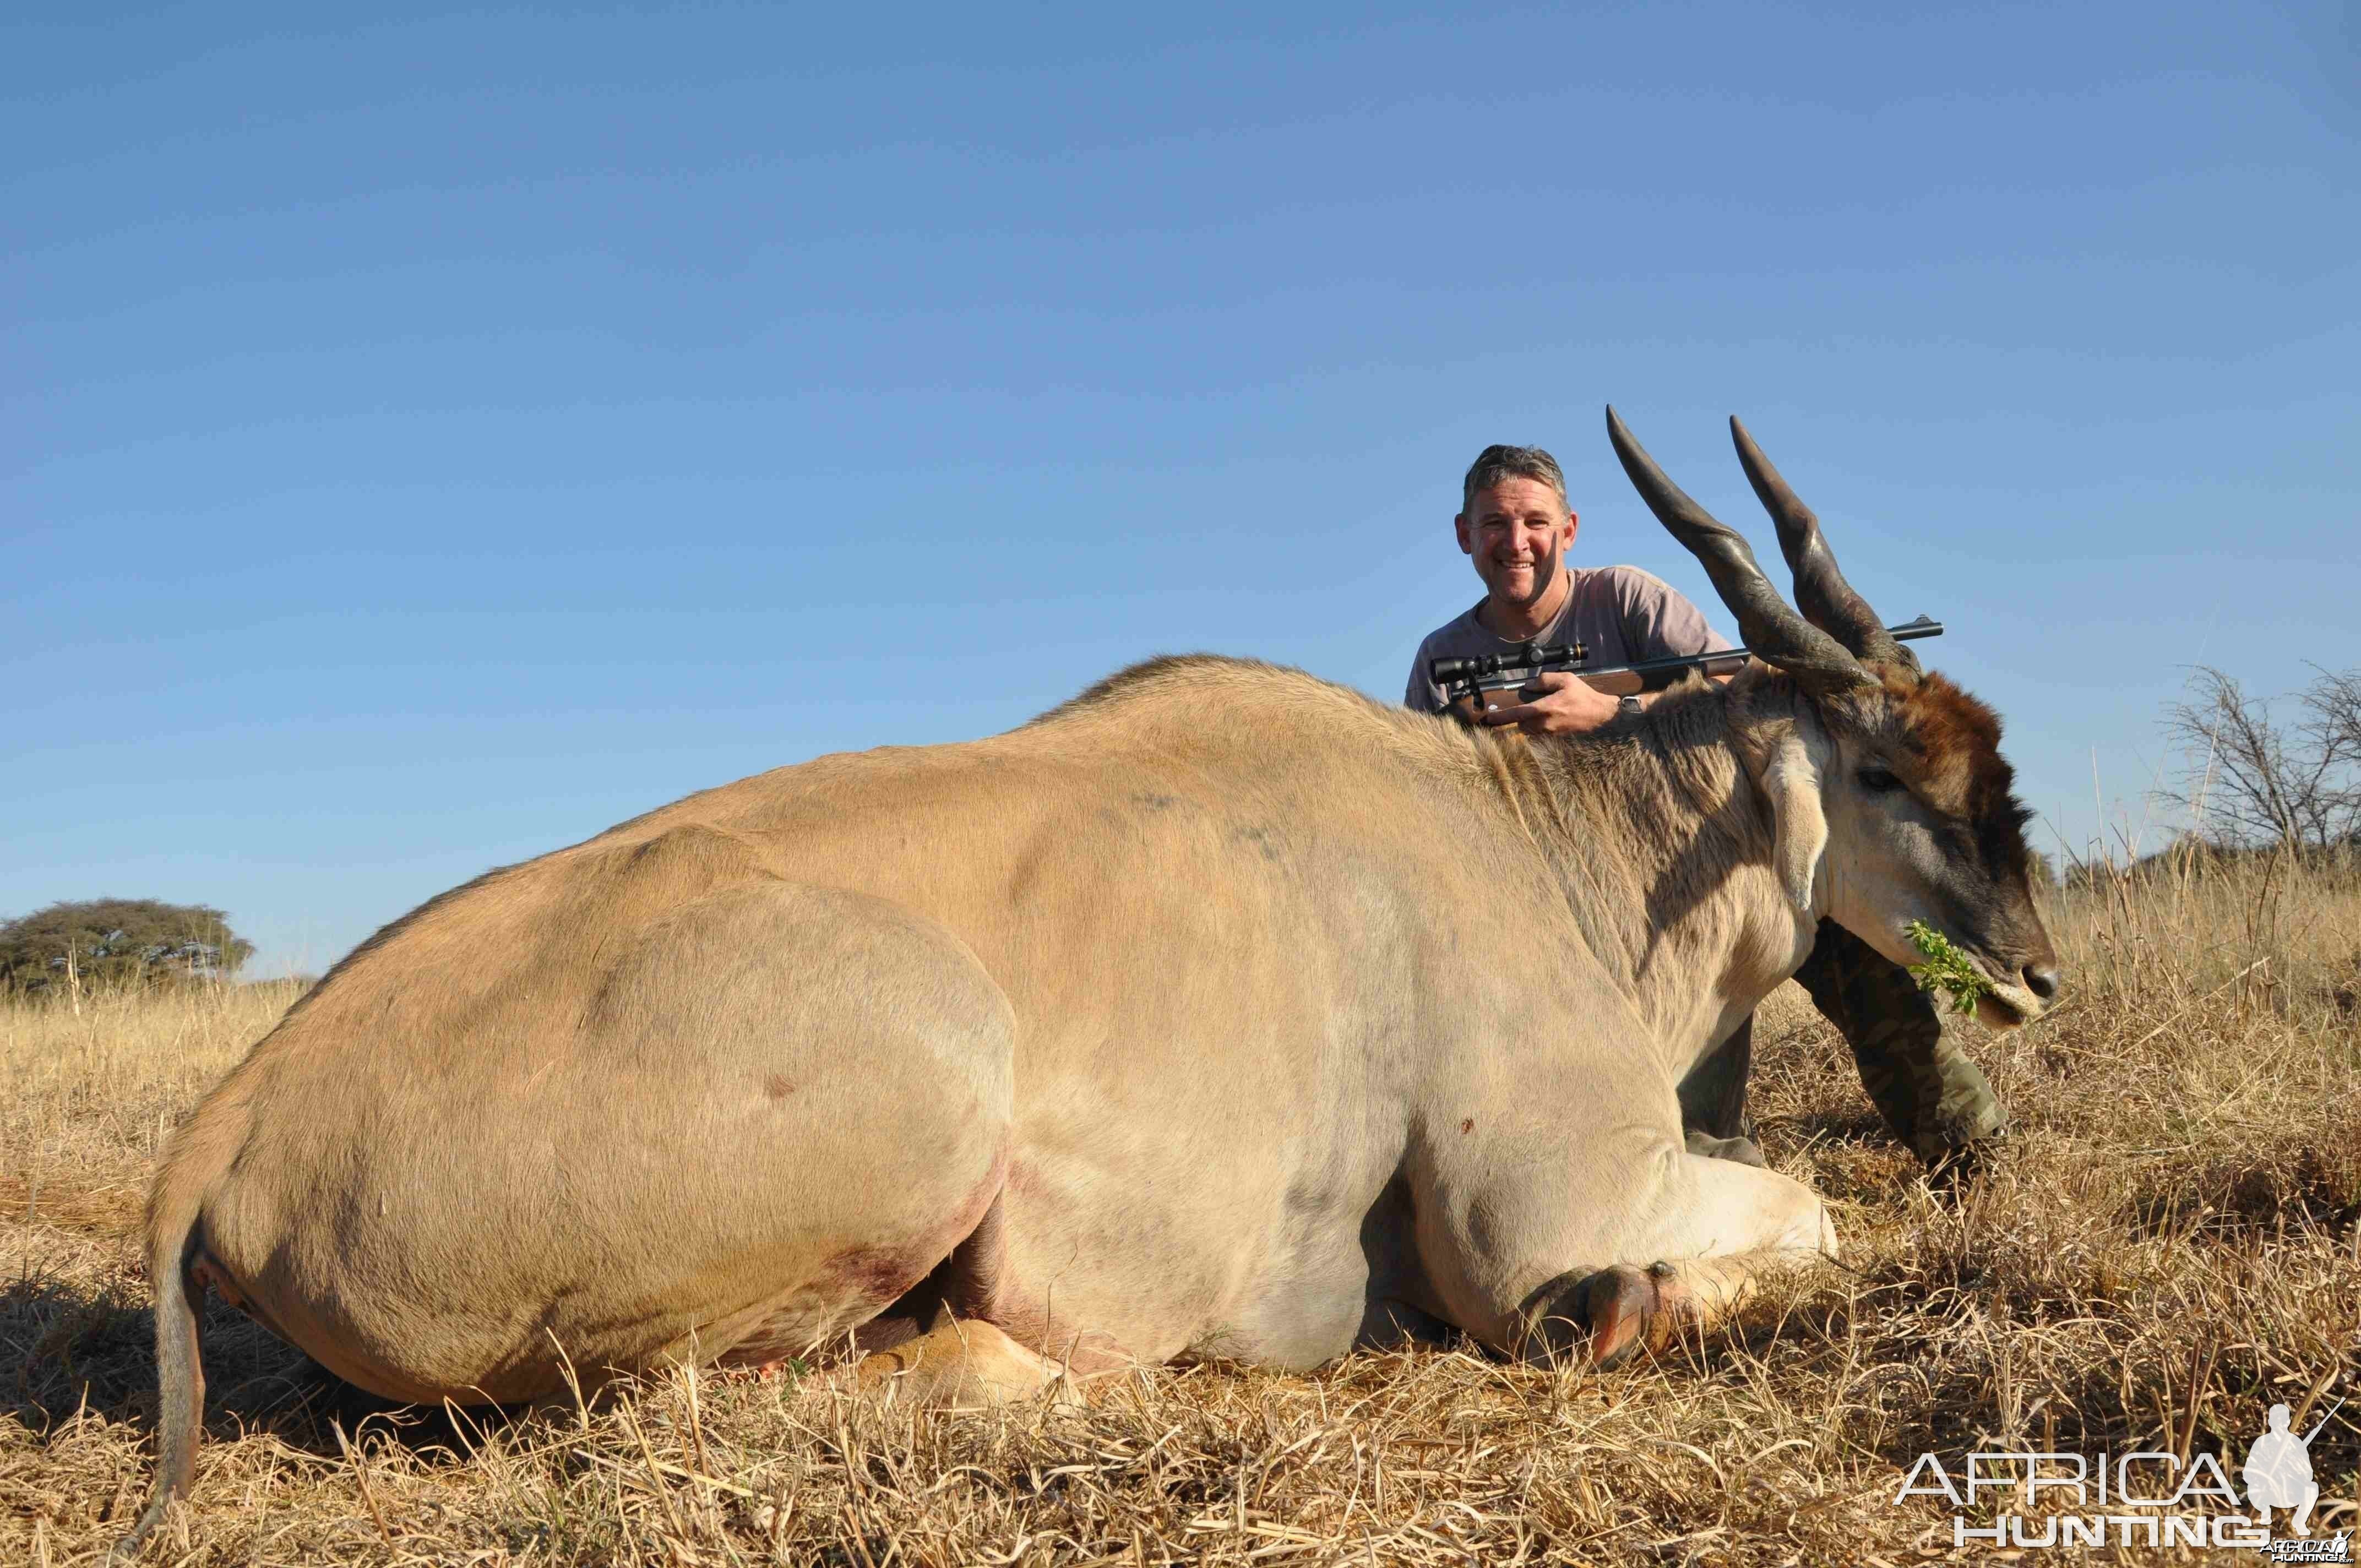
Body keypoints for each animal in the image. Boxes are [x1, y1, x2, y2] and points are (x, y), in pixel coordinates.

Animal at [119, 411, 2059, 1549]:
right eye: (1885, 768)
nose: (2036, 969)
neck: (1535, 838)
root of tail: (239, 1118)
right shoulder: (1546, 1218)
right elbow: (1797, 1222)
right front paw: (1628, 1311)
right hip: (923, 1100)